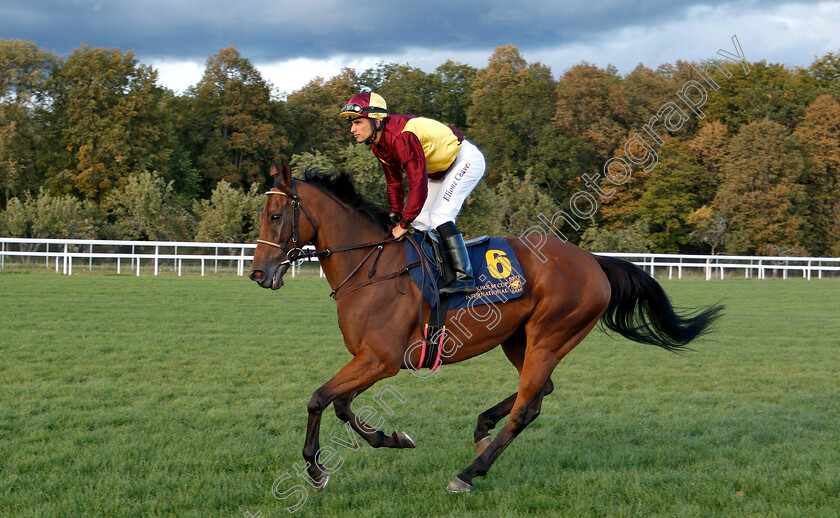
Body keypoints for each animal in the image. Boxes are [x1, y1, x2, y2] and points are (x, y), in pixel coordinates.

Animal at [248, 162, 720, 496]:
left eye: (276, 215)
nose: (258, 273)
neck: (372, 267)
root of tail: (592, 261)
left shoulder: (381, 360)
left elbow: (319, 398)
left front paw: (315, 469)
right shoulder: (370, 360)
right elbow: (342, 405)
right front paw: (392, 438)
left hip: (550, 335)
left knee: (526, 409)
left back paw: (469, 472)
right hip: (519, 339)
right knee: (540, 394)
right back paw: (481, 429)